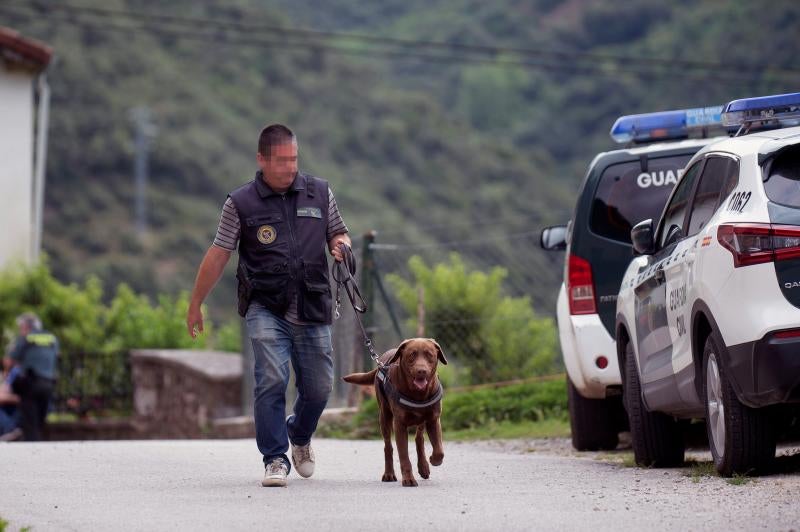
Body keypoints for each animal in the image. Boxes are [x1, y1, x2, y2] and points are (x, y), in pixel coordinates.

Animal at [342, 338, 446, 488]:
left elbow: (439, 450)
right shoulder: (399, 424)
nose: (421, 371)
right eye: (412, 355)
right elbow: (403, 455)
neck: (417, 394)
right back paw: (389, 474)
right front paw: (408, 479)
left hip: (422, 419)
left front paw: (433, 460)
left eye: (429, 355)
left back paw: (423, 467)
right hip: (384, 416)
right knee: (388, 447)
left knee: (419, 438)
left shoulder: (434, 419)